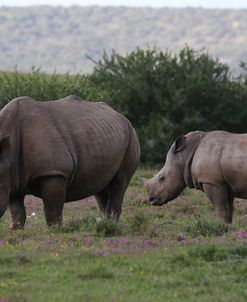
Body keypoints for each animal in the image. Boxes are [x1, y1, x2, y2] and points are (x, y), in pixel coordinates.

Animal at [0, 95, 140, 230]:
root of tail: (122, 117)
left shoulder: (54, 172)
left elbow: (52, 208)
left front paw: (55, 229)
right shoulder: (14, 178)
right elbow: (16, 209)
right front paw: (15, 229)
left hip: (131, 135)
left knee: (120, 181)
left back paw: (112, 225)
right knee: (101, 187)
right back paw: (105, 223)